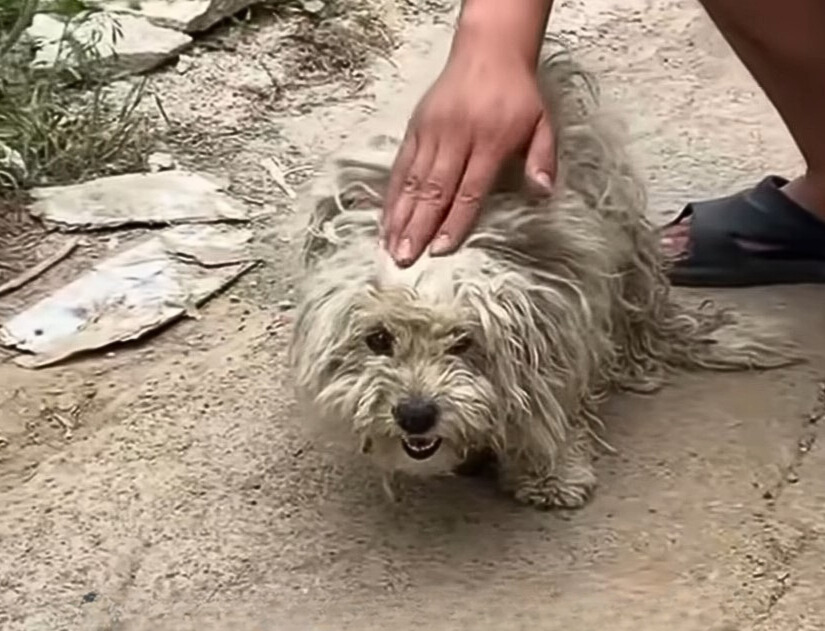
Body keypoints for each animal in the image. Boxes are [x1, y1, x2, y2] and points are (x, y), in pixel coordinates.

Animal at [288, 43, 792, 508]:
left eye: (464, 342)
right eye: (377, 340)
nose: (415, 415)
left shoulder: (564, 316)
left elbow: (547, 403)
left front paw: (548, 473)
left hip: (624, 237)